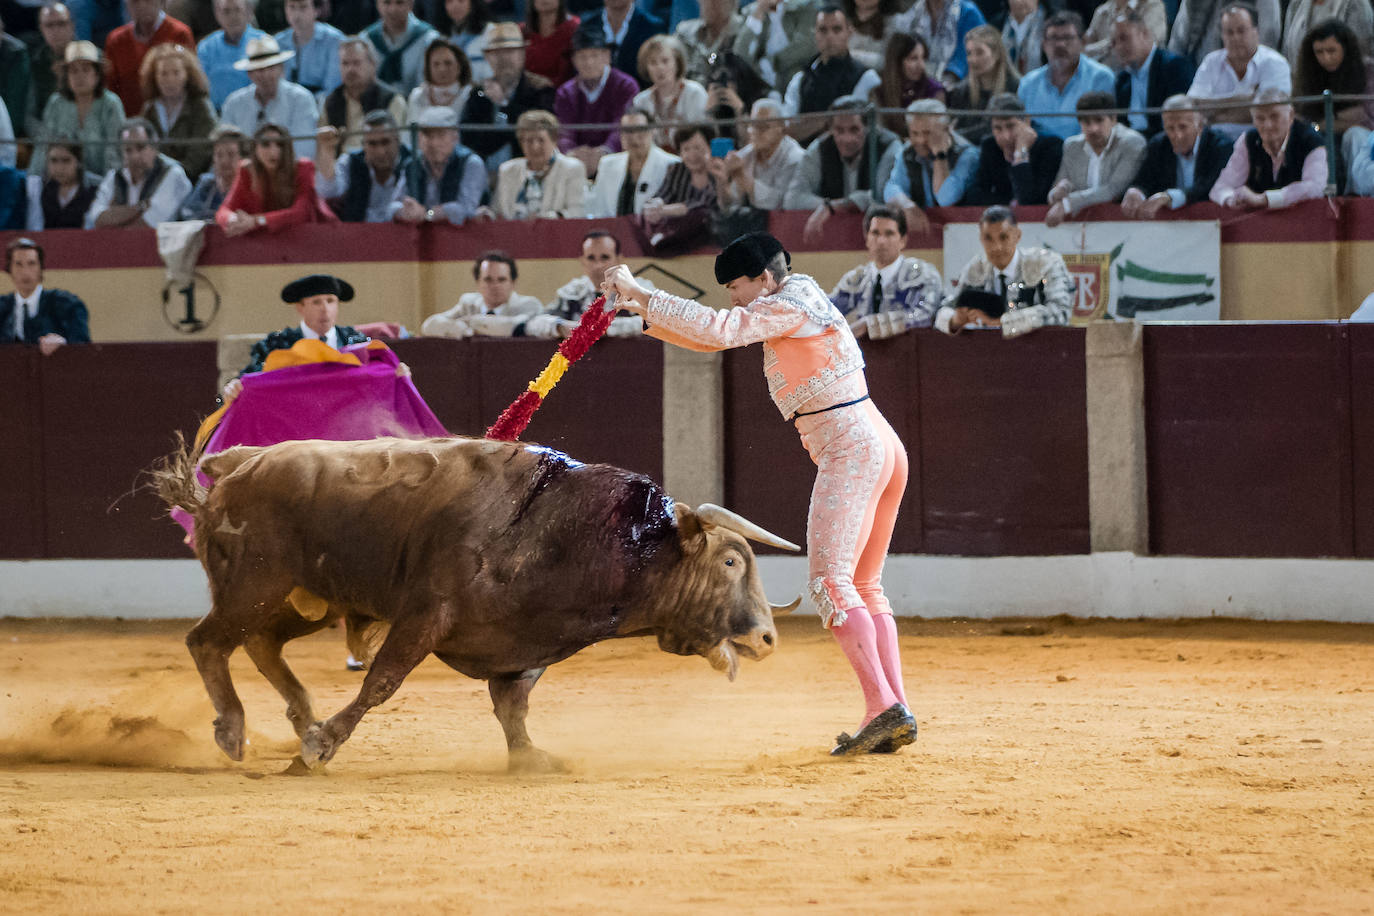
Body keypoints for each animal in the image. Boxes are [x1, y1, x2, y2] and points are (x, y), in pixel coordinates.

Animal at [158, 436, 802, 774]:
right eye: (731, 562)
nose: (769, 639)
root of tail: (238, 465)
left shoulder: (523, 643)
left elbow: (512, 705)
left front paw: (531, 758)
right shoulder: (425, 615)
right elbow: (381, 683)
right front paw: (323, 745)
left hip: (300, 600)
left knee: (261, 643)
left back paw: (296, 715)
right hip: (254, 584)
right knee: (207, 640)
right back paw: (237, 731)